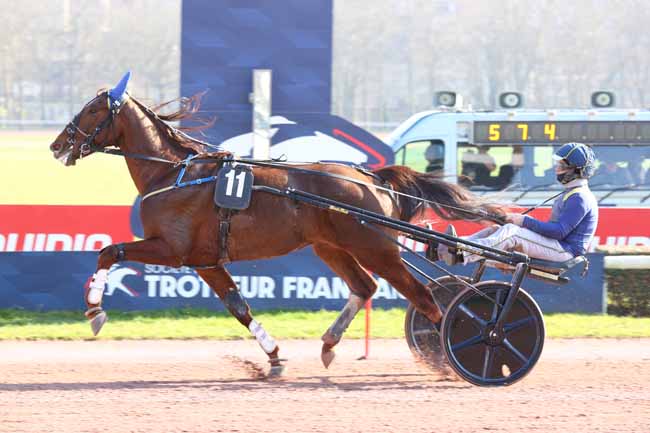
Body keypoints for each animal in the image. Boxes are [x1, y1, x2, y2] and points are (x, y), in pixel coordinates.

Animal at [49, 72, 502, 372]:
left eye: (93, 109)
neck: (175, 173)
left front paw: (95, 310)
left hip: (376, 248)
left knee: (425, 297)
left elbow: (109, 252)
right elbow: (239, 307)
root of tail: (371, 177)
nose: (56, 145)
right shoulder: (205, 261)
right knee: (365, 288)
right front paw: (273, 355)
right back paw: (330, 344)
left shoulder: (172, 249)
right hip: (331, 246)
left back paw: (461, 352)